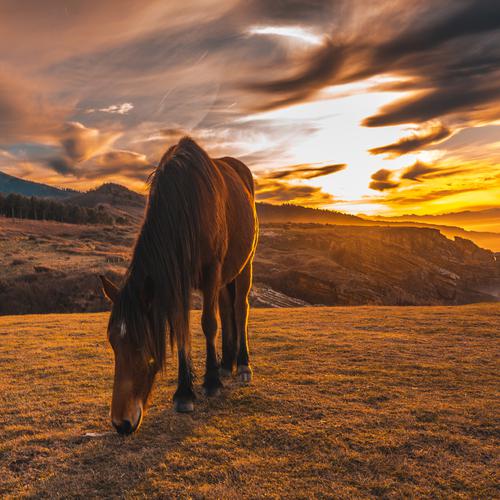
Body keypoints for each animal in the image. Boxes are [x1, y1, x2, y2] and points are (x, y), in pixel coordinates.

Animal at [100, 136, 260, 434]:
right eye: (113, 341)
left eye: (143, 342)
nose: (121, 423)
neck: (188, 203)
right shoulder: (178, 281)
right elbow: (182, 327)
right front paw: (185, 392)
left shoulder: (211, 272)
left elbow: (209, 324)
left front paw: (210, 383)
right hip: (225, 278)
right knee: (227, 309)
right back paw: (226, 364)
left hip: (245, 266)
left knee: (239, 309)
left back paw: (242, 365)